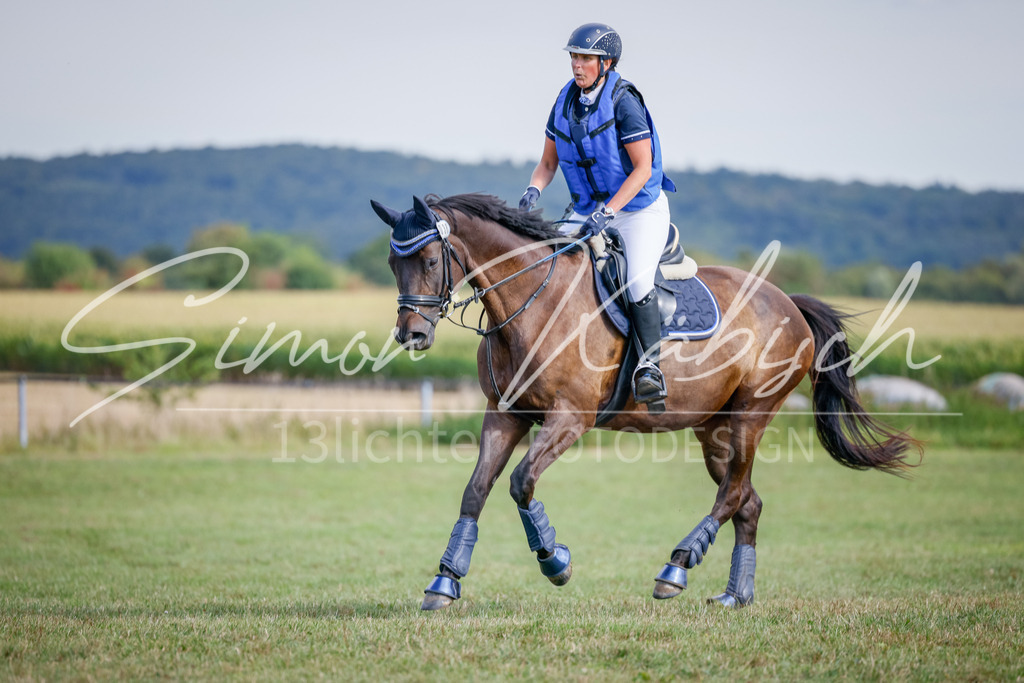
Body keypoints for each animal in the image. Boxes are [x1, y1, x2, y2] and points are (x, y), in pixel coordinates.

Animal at [370, 193, 919, 611]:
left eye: (430, 261)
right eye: (393, 263)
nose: (411, 335)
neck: (533, 300)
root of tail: (789, 302)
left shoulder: (569, 418)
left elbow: (521, 481)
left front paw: (555, 561)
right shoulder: (505, 414)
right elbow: (476, 490)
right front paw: (445, 581)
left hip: (751, 415)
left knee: (732, 496)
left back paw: (675, 568)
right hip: (713, 429)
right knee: (748, 501)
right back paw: (734, 595)